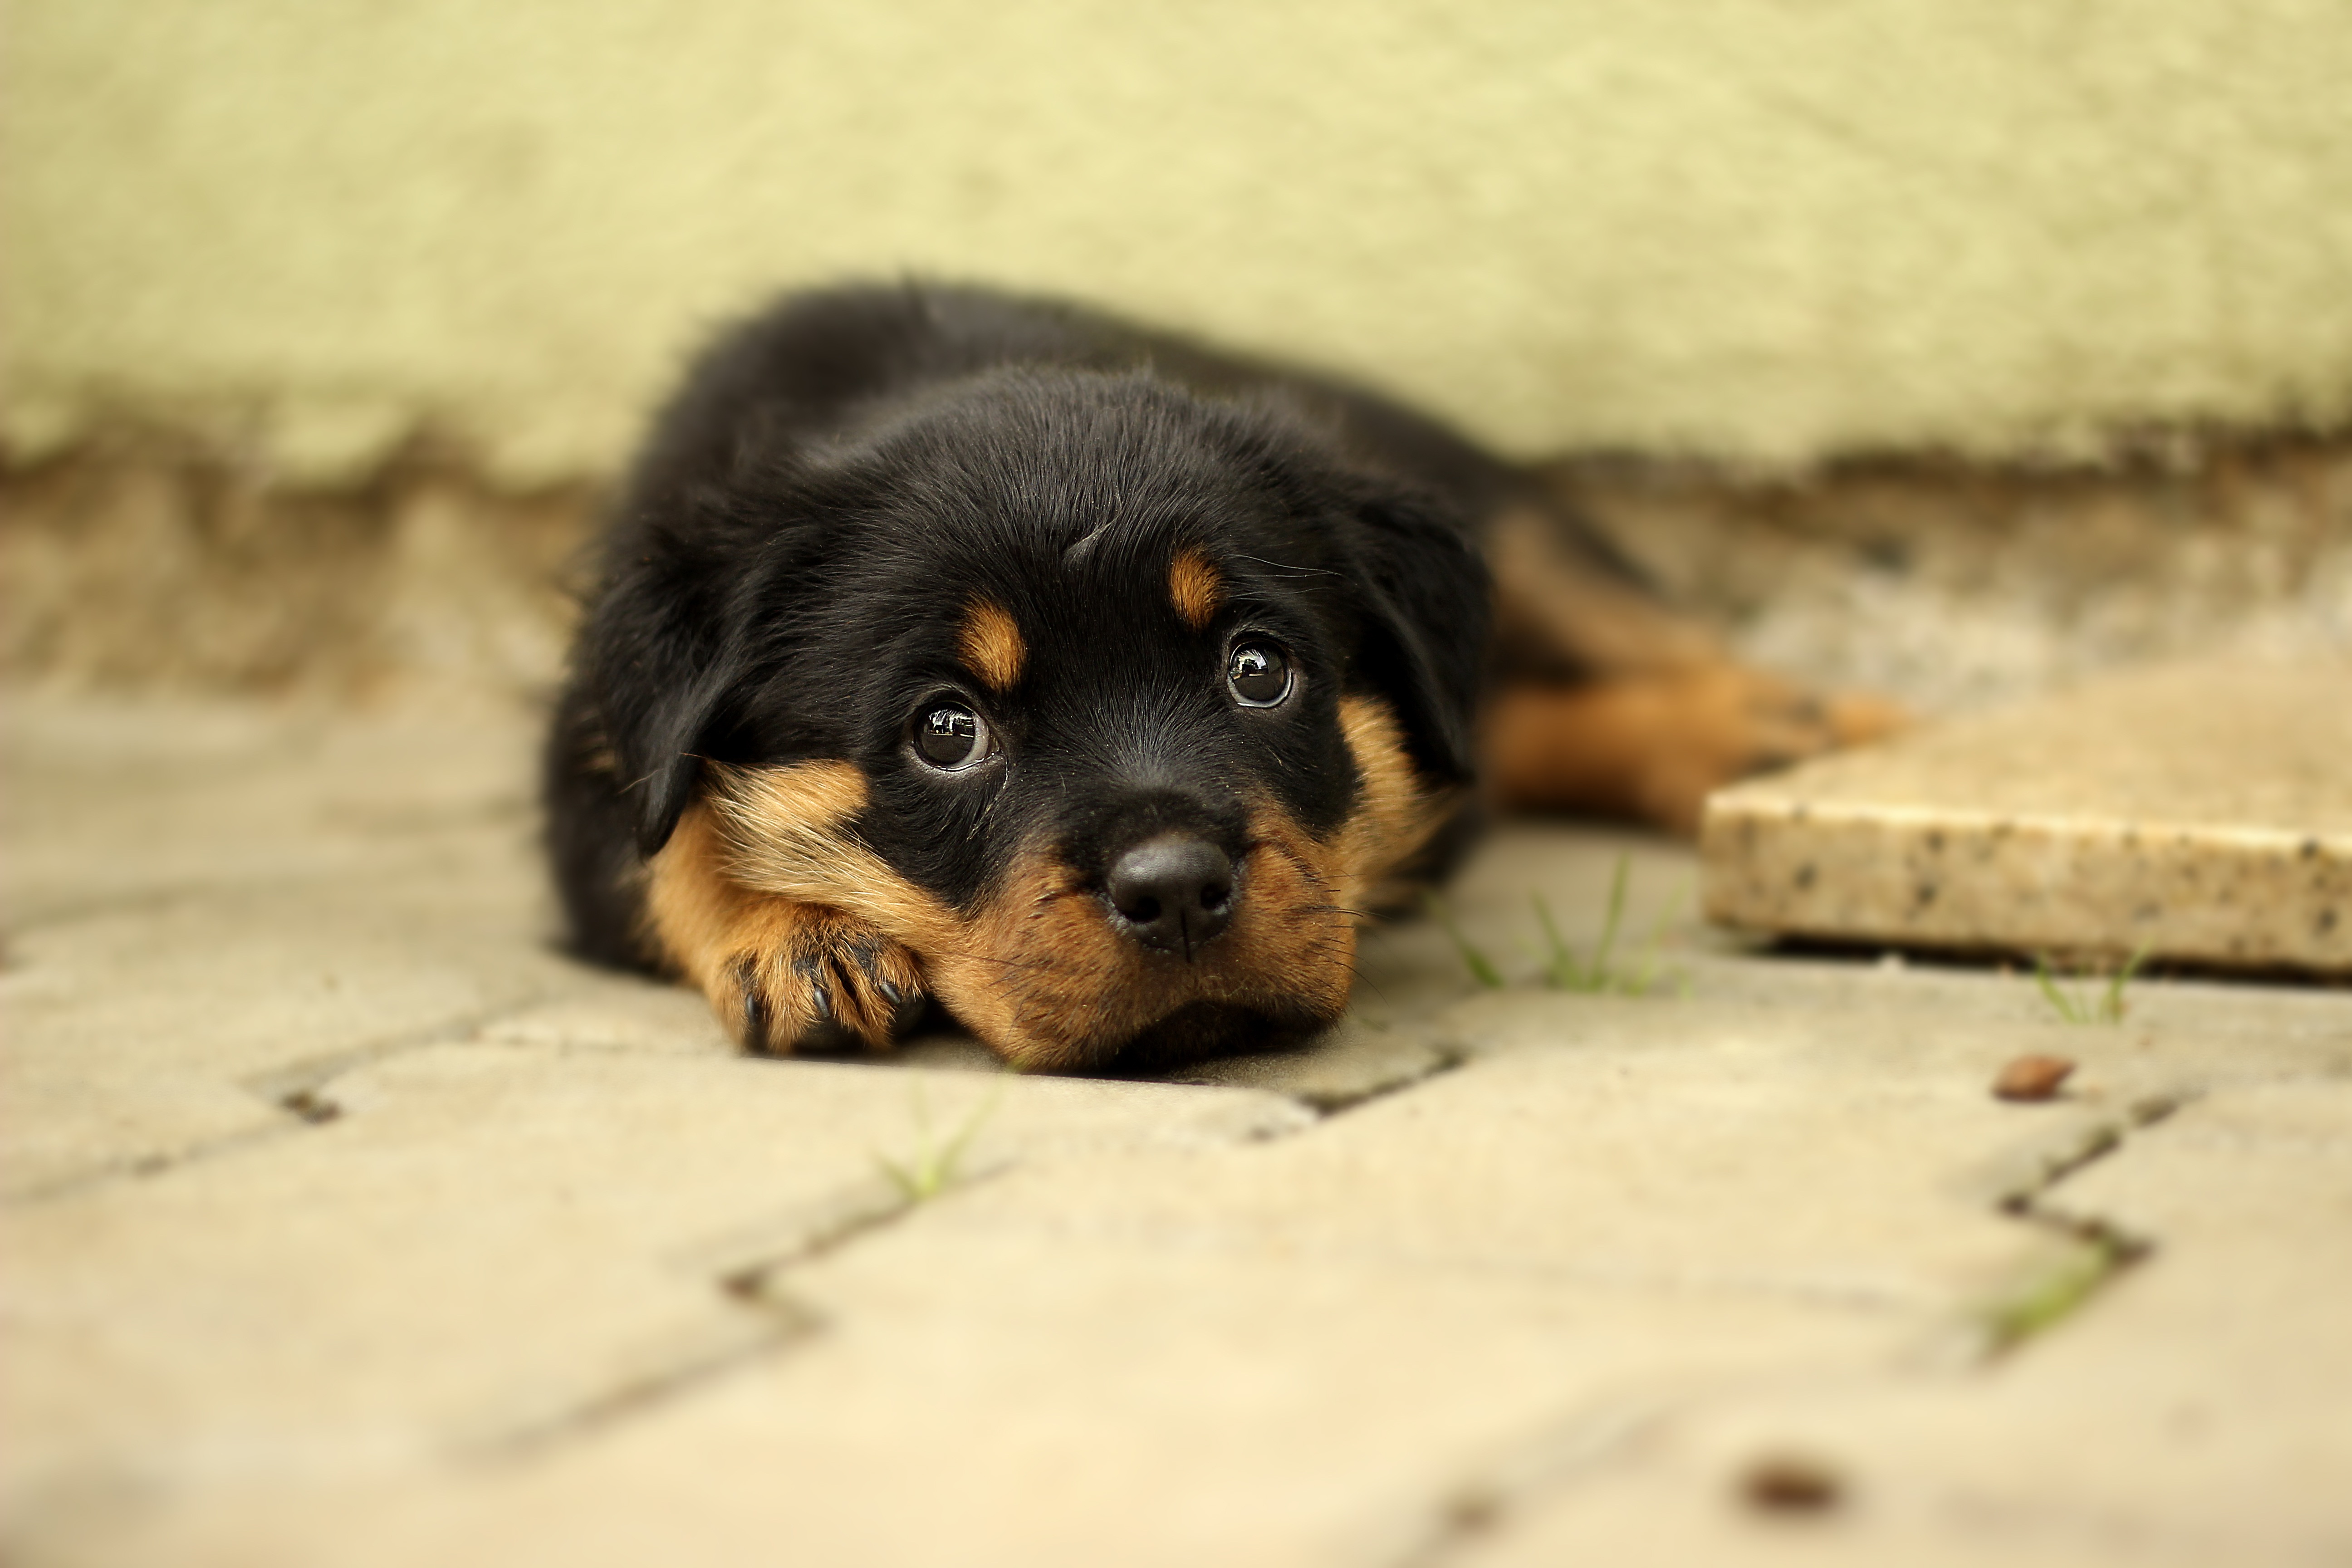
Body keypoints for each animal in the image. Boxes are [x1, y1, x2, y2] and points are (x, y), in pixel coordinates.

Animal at [539, 282, 1891, 1072]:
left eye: (1256, 669)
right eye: (945, 730)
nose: (1180, 891)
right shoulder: (600, 727)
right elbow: (660, 841)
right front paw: (798, 934)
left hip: (1520, 529)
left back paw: (1819, 729)